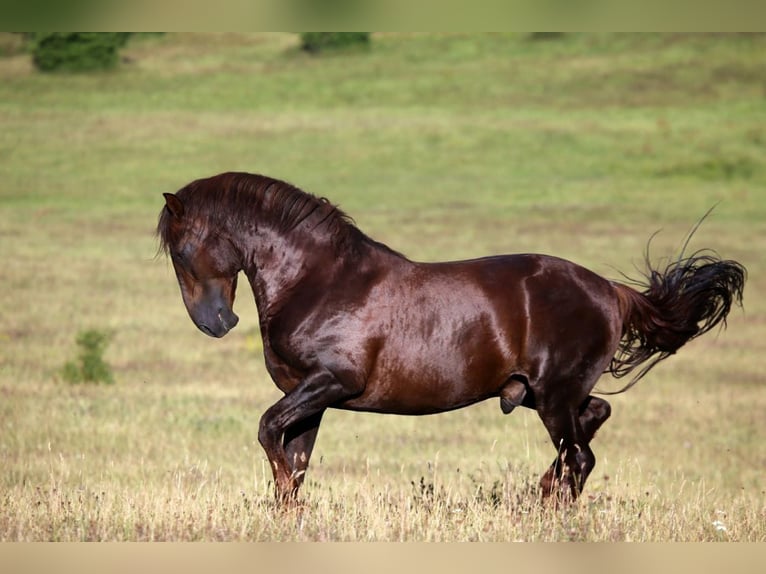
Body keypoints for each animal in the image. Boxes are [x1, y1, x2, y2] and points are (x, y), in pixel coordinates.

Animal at [158, 173, 752, 506]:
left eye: (181, 250)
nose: (216, 322)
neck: (320, 279)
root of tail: (611, 290)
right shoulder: (310, 397)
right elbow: (294, 465)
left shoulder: (331, 382)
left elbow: (268, 434)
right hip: (542, 393)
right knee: (592, 423)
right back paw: (538, 495)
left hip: (554, 396)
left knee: (580, 456)